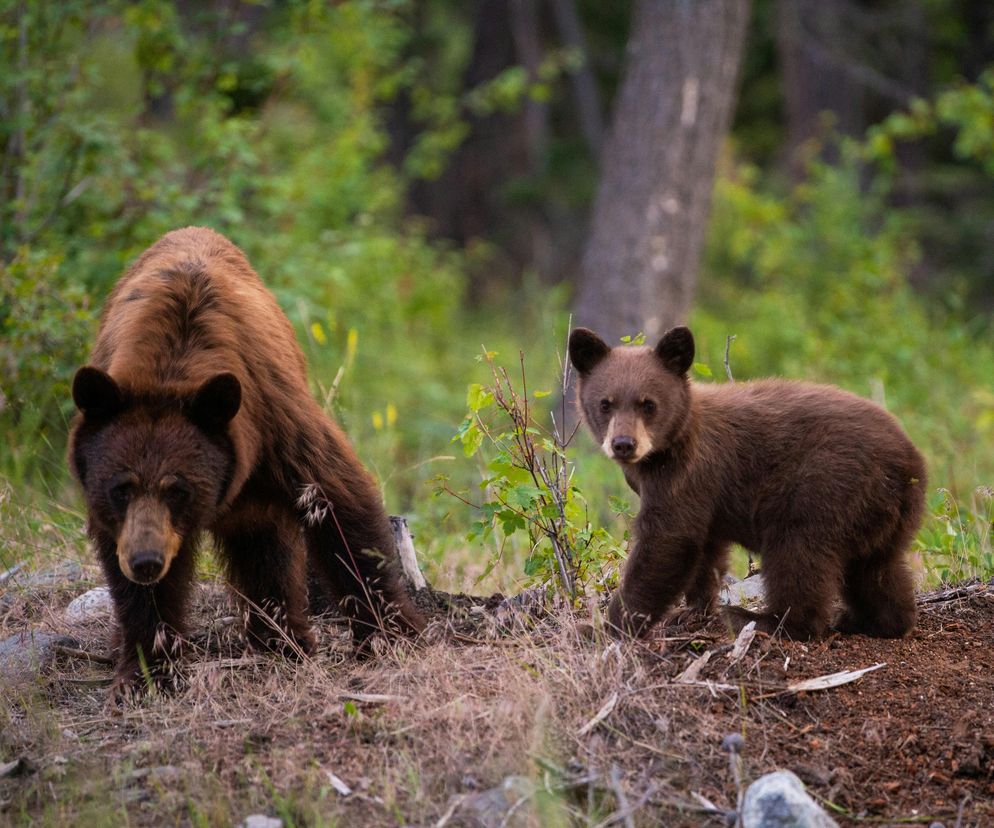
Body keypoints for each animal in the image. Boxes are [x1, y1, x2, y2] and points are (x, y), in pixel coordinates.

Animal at [68, 226, 424, 700]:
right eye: (120, 487)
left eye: (178, 489)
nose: (146, 561)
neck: (170, 368)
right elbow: (133, 587)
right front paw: (147, 670)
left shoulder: (275, 421)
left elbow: (339, 505)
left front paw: (392, 634)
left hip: (258, 495)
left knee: (265, 551)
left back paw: (283, 640)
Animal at [568, 324, 928, 640]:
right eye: (605, 403)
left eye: (648, 404)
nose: (623, 444)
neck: (668, 446)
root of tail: (910, 462)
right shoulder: (702, 495)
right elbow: (705, 549)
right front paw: (692, 609)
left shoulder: (687, 474)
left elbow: (667, 542)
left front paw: (606, 627)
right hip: (882, 513)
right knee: (876, 569)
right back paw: (874, 620)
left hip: (824, 487)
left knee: (799, 554)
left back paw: (764, 620)